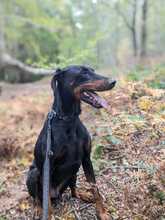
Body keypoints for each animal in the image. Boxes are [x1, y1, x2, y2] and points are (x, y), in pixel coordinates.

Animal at [26, 64, 116, 219]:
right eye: (83, 72)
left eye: (92, 70)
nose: (113, 81)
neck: (68, 120)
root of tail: (56, 194)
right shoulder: (47, 166)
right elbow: (47, 203)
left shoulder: (86, 158)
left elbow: (95, 188)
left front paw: (102, 213)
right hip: (34, 173)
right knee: (39, 198)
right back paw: (38, 208)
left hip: (74, 170)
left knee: (73, 191)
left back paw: (83, 195)